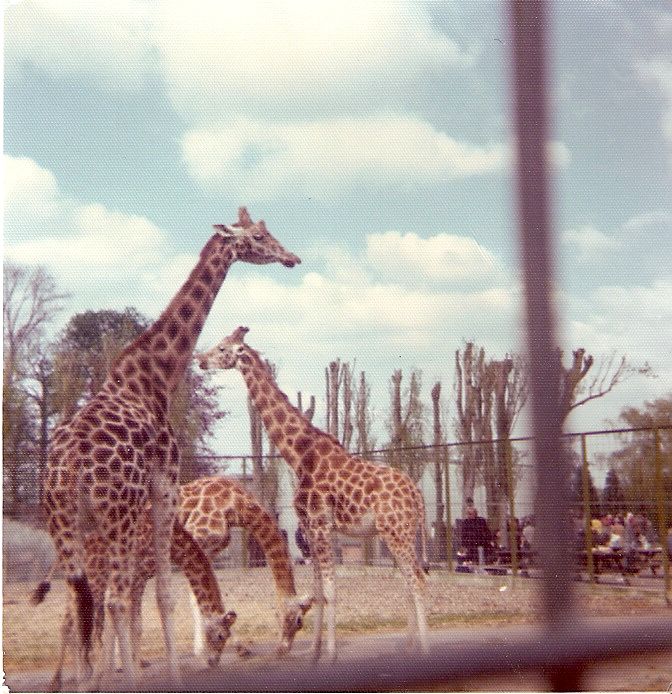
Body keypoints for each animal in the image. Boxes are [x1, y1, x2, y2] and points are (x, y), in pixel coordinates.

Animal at [32, 512, 237, 691]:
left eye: (227, 636)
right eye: (221, 635)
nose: (213, 661)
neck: (173, 544)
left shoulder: (139, 577)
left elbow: (120, 625)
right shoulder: (138, 575)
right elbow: (135, 626)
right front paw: (133, 677)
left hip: (80, 581)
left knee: (70, 623)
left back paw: (75, 677)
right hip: (94, 577)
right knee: (71, 624)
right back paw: (69, 681)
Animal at [178, 476, 313, 656]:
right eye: (299, 621)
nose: (282, 649)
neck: (237, 506)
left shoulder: (208, 551)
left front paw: (201, 648)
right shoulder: (196, 539)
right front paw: (238, 648)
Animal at [196, 327, 430, 662]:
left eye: (222, 348)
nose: (200, 360)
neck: (299, 455)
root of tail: (417, 495)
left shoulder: (320, 523)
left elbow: (330, 590)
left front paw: (330, 655)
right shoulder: (308, 526)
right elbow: (319, 591)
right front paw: (315, 652)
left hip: (397, 531)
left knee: (419, 581)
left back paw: (424, 648)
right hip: (398, 533)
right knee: (409, 583)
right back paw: (409, 647)